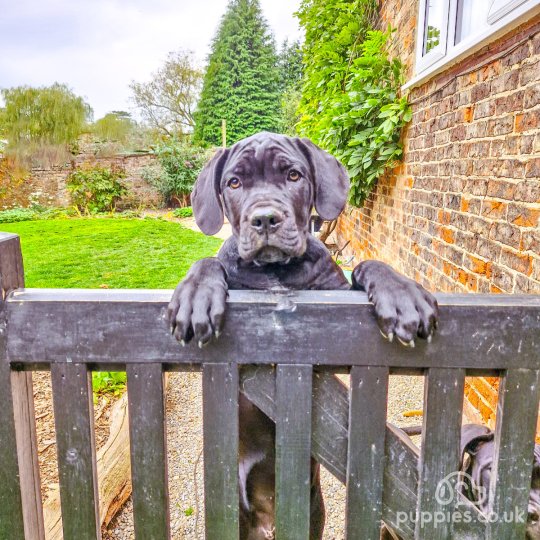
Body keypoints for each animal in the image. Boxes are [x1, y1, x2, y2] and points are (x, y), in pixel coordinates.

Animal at [168, 132, 438, 540]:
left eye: (293, 175)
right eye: (234, 183)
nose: (265, 218)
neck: (276, 271)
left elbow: (367, 263)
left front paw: (402, 293)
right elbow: (210, 261)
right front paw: (195, 294)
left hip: (314, 510)